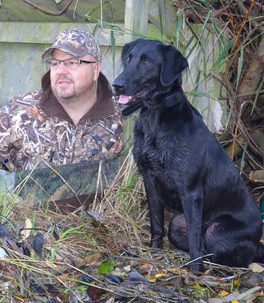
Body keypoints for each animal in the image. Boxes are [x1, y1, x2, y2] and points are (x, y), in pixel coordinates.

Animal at [113, 38, 264, 274]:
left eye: (147, 62)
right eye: (129, 58)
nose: (116, 84)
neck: (155, 117)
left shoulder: (191, 191)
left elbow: (194, 237)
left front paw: (195, 269)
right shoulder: (149, 179)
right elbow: (156, 221)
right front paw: (155, 249)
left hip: (216, 230)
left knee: (227, 250)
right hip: (177, 223)